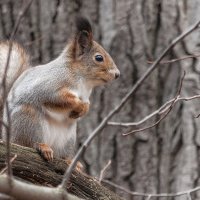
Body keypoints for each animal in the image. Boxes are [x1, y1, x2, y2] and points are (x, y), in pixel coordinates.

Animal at [1, 16, 120, 165]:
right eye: (99, 58)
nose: (117, 74)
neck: (83, 81)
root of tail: (7, 137)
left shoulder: (85, 96)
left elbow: (87, 104)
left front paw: (83, 109)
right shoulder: (50, 86)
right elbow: (58, 99)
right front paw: (78, 105)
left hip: (68, 138)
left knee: (62, 154)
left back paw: (71, 162)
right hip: (28, 119)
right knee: (29, 142)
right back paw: (43, 147)